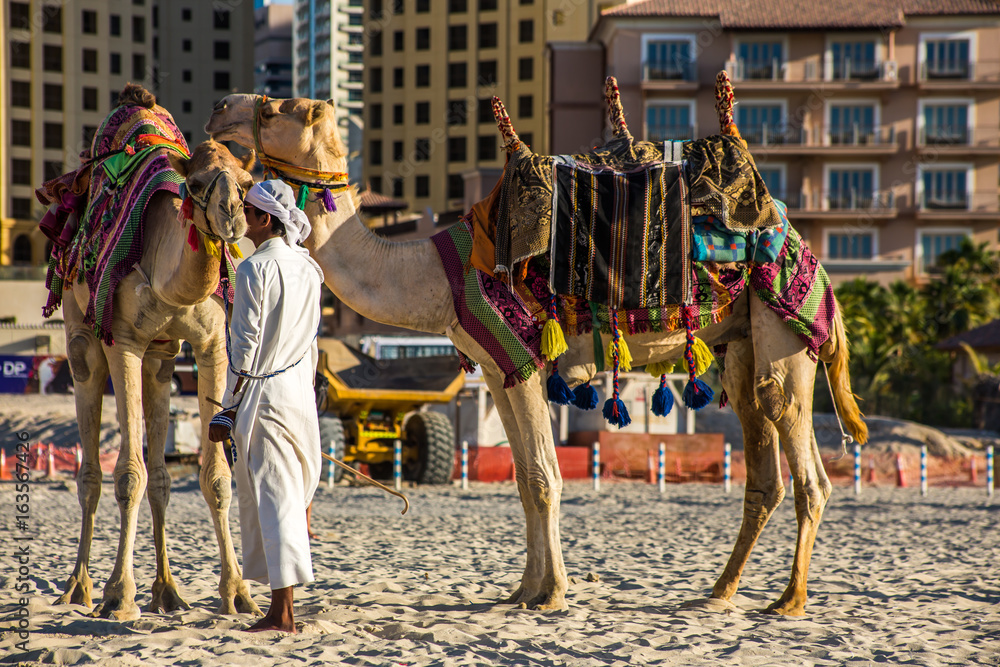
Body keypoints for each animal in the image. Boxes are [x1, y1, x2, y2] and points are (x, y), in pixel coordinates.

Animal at [52, 85, 260, 620]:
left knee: (164, 474)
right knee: (90, 470)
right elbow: (128, 474)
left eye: (249, 182)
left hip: (162, 360)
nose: (233, 216)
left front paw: (238, 593)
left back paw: (167, 591)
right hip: (83, 339)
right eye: (198, 184)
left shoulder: (211, 346)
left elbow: (216, 477)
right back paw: (79, 587)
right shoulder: (123, 341)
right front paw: (118, 595)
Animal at [205, 81, 868, 616]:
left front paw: (553, 594)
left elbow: (546, 476)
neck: (437, 272)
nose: (219, 107)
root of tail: (805, 249)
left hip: (780, 328)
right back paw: (720, 591)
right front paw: (522, 591)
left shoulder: (520, 355)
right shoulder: (499, 366)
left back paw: (789, 600)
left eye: (277, 107)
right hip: (737, 346)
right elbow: (525, 479)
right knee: (762, 463)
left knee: (803, 456)